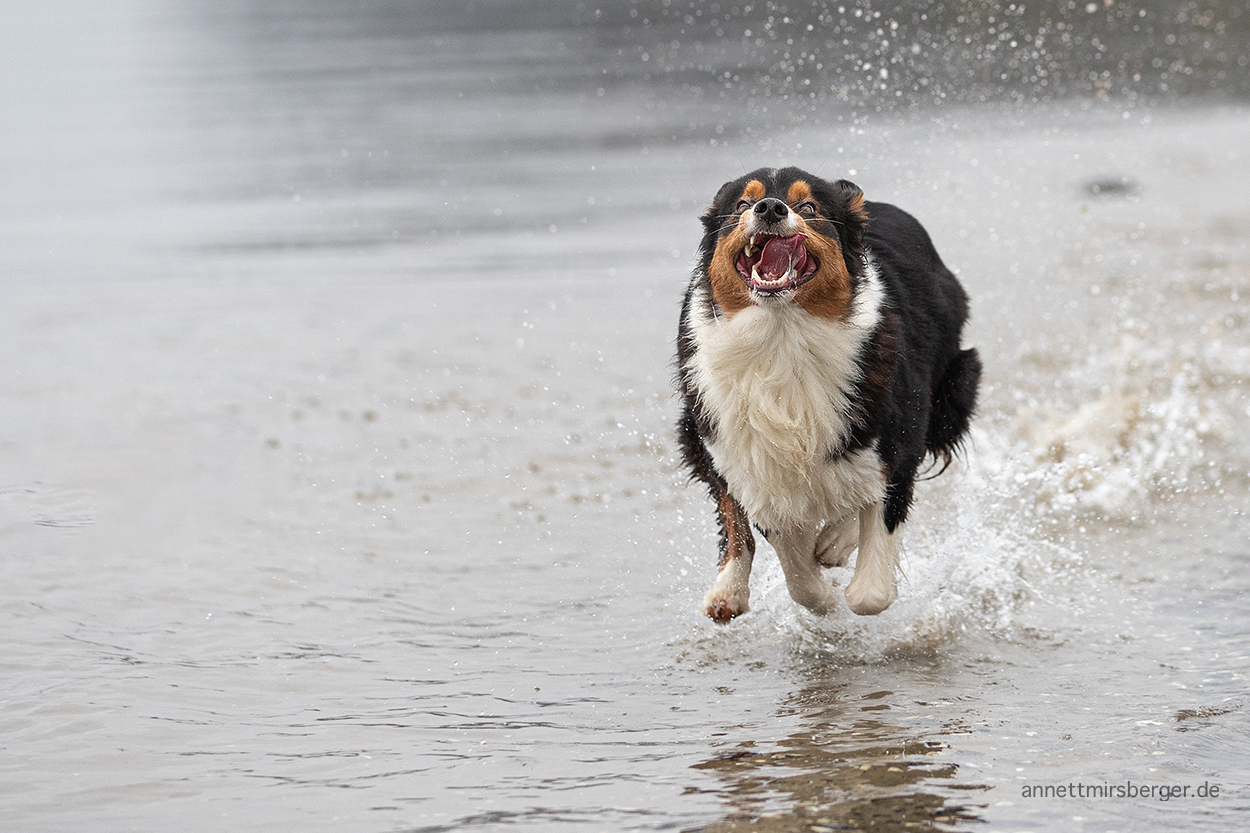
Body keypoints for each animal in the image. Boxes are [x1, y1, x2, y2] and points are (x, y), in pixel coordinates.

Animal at [680, 168, 980, 620]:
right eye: (741, 205)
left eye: (809, 208)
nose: (770, 207)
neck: (781, 335)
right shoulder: (751, 455)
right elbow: (792, 564)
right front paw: (821, 596)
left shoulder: (901, 434)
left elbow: (870, 592)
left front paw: (839, 568)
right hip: (702, 431)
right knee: (734, 516)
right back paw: (727, 592)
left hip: (954, 390)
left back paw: (834, 543)